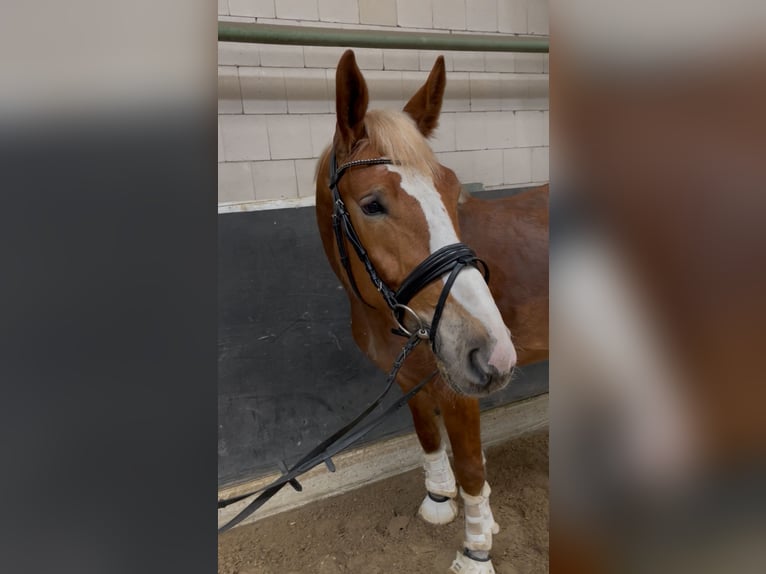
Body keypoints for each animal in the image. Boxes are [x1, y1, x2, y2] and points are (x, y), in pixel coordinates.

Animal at [315, 50, 549, 573]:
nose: (493, 351)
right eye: (372, 204)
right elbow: (427, 437)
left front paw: (477, 549)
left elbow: (472, 466)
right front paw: (440, 500)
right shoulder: (409, 380)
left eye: (453, 189)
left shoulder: (459, 387)